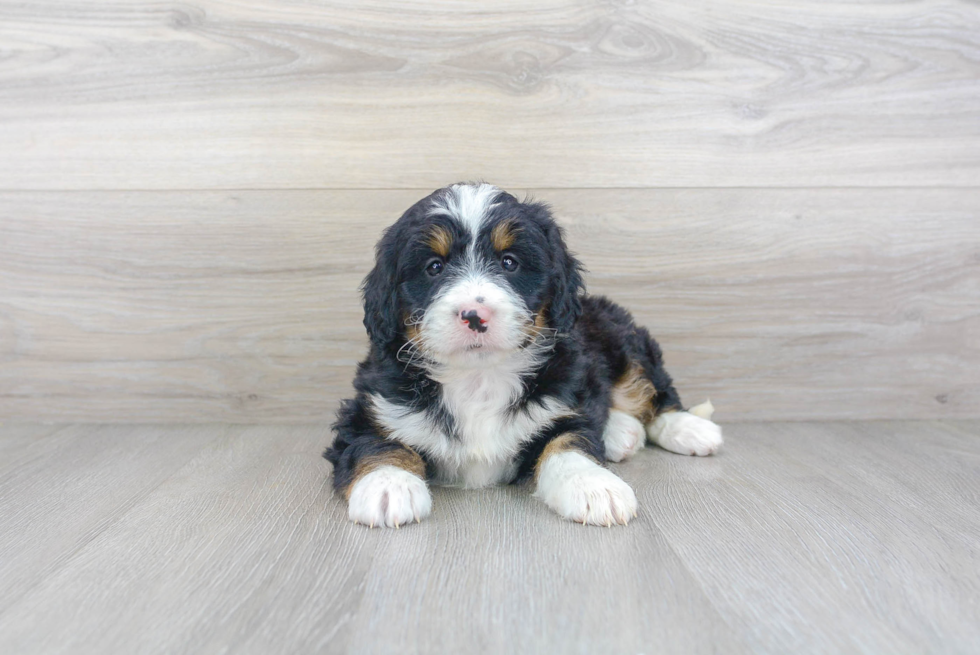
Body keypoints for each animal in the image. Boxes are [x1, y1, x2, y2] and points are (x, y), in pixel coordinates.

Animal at [326, 181, 724, 528]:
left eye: (509, 262)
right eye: (434, 267)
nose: (474, 315)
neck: (478, 377)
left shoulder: (561, 403)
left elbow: (568, 444)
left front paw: (594, 486)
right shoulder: (373, 406)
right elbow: (375, 442)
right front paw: (388, 485)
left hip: (622, 337)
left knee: (652, 391)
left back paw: (690, 429)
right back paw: (621, 433)